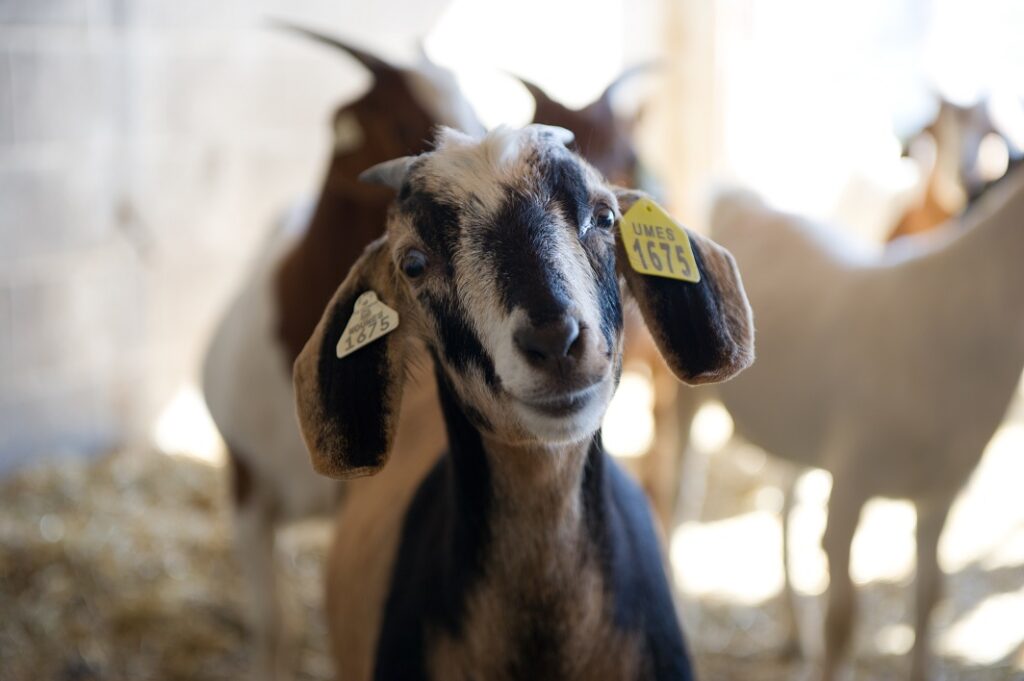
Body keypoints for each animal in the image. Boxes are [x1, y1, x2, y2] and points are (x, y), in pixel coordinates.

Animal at [700, 166, 1024, 681]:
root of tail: (736, 191)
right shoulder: (851, 480)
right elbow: (843, 620)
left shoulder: (942, 490)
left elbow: (929, 598)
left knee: (785, 507)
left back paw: (796, 634)